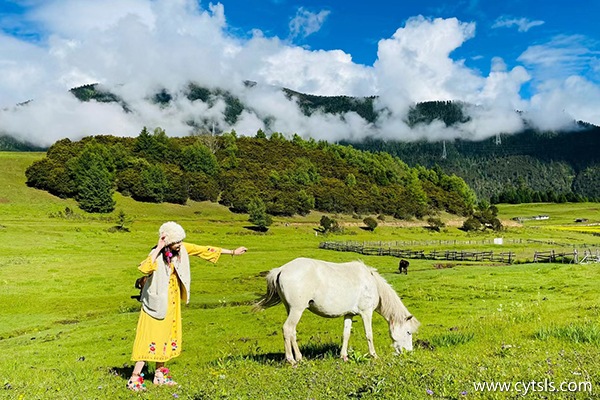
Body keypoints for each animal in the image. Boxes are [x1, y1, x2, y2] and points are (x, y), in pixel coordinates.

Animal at [252, 258, 418, 364]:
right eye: (408, 332)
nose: (409, 352)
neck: (372, 283)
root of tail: (281, 269)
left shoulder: (349, 314)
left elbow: (346, 335)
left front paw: (344, 356)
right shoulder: (366, 313)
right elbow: (369, 335)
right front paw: (374, 356)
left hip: (291, 309)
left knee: (292, 332)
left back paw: (299, 357)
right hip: (296, 310)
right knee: (287, 329)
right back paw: (291, 360)